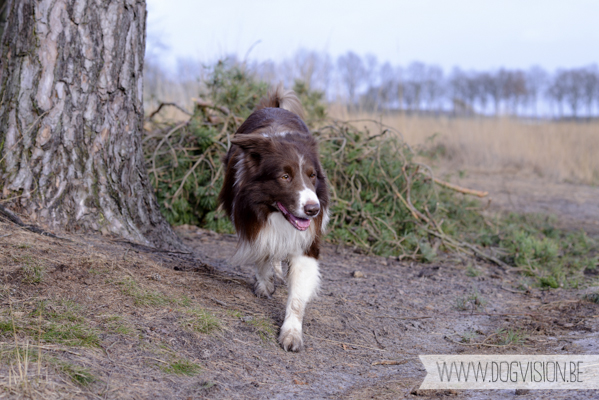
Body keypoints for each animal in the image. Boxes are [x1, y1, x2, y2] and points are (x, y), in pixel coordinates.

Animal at [220, 85, 330, 350]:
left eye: (312, 175)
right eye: (285, 177)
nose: (313, 209)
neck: (274, 212)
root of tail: (274, 105)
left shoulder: (308, 239)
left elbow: (298, 293)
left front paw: (292, 333)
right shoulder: (250, 216)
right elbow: (262, 248)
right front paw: (264, 282)